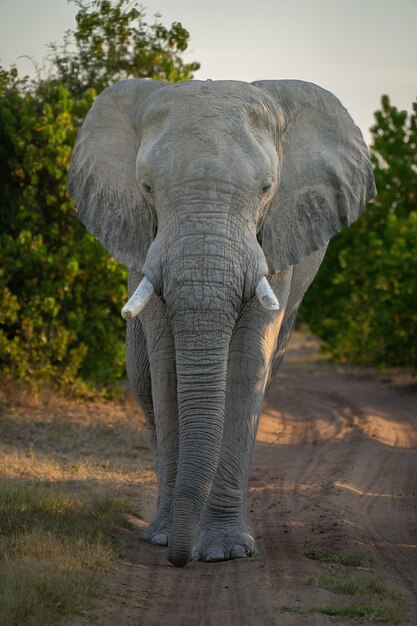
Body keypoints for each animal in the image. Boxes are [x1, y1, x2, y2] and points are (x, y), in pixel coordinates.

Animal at [68, 78, 374, 564]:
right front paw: (169, 540)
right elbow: (167, 365)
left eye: (267, 188)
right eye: (146, 187)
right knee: (144, 380)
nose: (179, 560)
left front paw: (226, 551)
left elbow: (249, 362)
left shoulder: (276, 238)